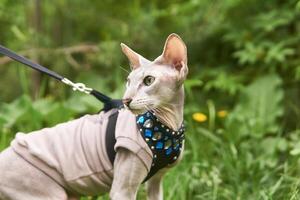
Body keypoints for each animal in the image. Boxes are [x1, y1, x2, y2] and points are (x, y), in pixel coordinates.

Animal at [0, 33, 188, 199]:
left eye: (149, 80)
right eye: (128, 81)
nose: (126, 100)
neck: (168, 124)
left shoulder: (156, 183)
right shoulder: (122, 190)